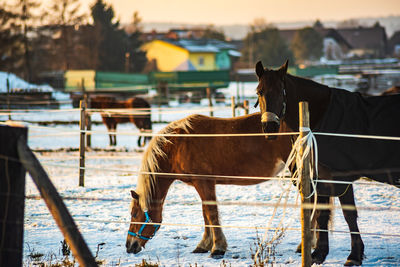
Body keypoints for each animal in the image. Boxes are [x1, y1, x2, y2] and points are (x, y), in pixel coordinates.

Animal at [255, 59, 400, 266]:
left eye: (280, 91)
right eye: (259, 92)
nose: (269, 127)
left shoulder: (339, 177)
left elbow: (348, 214)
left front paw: (353, 256)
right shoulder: (321, 178)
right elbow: (324, 214)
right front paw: (320, 253)